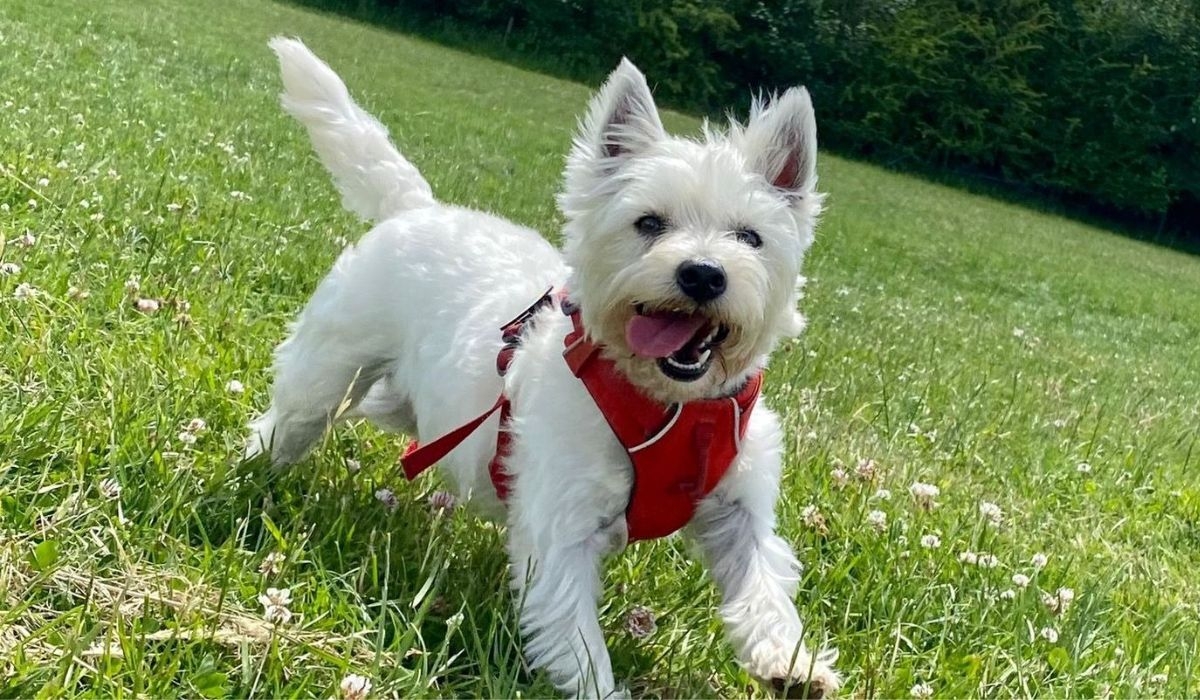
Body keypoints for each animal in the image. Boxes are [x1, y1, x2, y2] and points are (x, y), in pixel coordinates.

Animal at [248, 39, 840, 700]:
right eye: (649, 223)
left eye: (750, 237)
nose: (704, 274)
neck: (666, 402)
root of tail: (418, 208)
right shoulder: (563, 523)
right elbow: (575, 633)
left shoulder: (738, 506)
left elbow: (761, 579)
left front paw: (790, 662)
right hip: (332, 371)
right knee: (292, 417)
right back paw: (253, 473)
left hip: (408, 401)